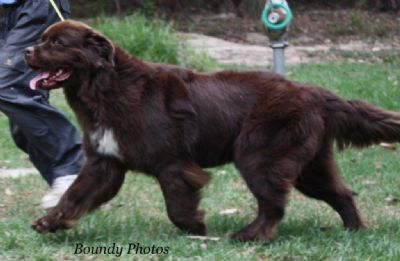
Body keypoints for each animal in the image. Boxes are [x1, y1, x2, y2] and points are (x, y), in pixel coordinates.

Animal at [25, 20, 400, 242]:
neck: (103, 91)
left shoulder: (172, 163)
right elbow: (75, 195)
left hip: (260, 154)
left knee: (273, 203)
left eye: (57, 43)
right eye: (42, 39)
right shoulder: (106, 161)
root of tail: (314, 91)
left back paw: (249, 235)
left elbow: (177, 205)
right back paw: (354, 231)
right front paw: (49, 222)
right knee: (340, 193)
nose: (27, 50)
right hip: (310, 163)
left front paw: (196, 228)